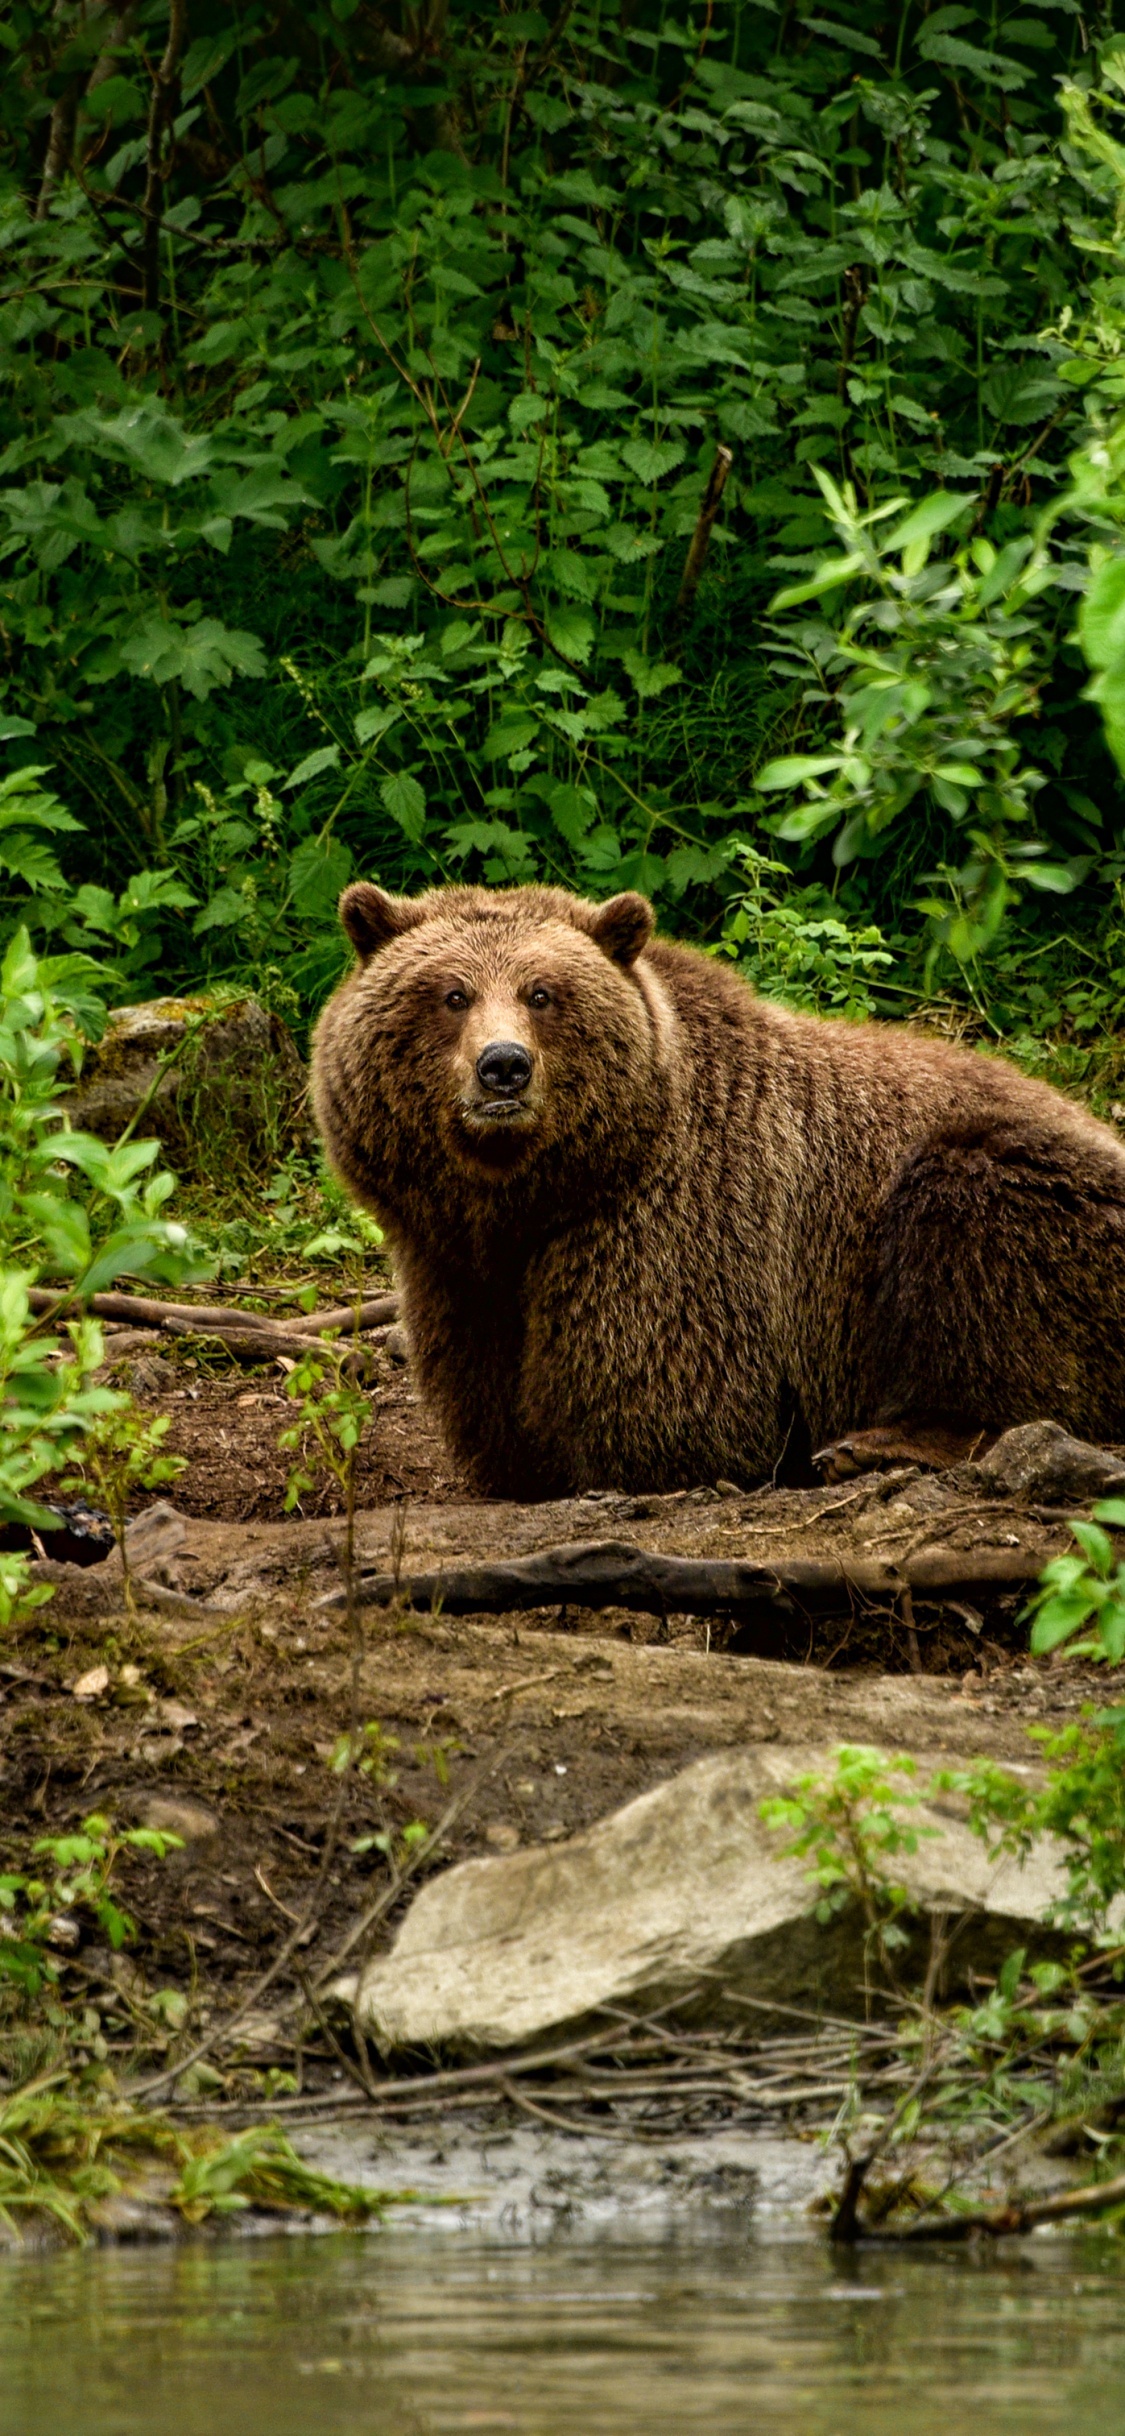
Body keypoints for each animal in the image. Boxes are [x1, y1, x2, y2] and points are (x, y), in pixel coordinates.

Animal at [311, 876, 1125, 1481]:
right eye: (453, 994)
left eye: (542, 993)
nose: (504, 1066)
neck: (534, 1195)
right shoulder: (450, 1260)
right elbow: (485, 1386)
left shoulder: (678, 1226)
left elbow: (665, 1396)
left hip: (1031, 1193)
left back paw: (876, 1444)